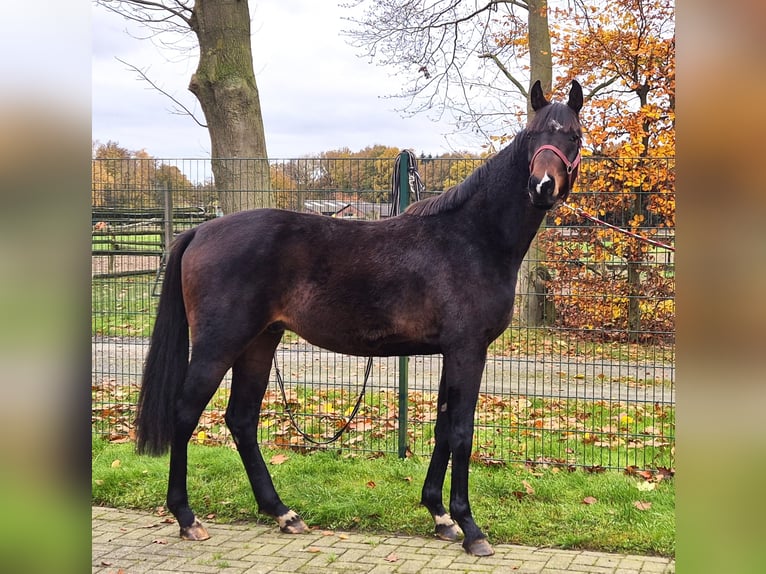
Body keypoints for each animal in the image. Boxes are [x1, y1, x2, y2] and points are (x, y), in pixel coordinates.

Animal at [136, 81, 584, 560]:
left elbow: (444, 428)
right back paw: (187, 518)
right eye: (533, 135)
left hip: (260, 342)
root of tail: (199, 231)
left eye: (573, 136)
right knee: (185, 413)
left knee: (241, 419)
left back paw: (282, 513)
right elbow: (462, 432)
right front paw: (470, 528)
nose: (542, 186)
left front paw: (440, 516)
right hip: (219, 344)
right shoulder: (468, 349)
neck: (472, 237)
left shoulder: (454, 351)